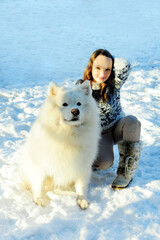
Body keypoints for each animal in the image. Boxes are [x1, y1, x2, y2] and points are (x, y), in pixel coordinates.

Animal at [20, 80, 100, 208]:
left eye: (79, 103)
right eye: (64, 104)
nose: (75, 111)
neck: (68, 134)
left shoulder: (82, 165)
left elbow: (81, 185)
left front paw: (82, 199)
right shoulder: (41, 165)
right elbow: (39, 183)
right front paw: (40, 199)